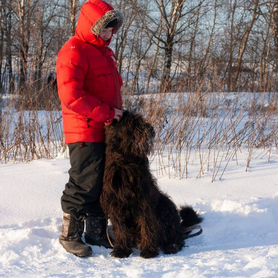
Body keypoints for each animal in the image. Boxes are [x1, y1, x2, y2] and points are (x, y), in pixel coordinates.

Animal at [100, 111, 202, 258]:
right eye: (132, 123)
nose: (150, 130)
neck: (126, 162)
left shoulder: (144, 202)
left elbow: (147, 225)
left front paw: (149, 250)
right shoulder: (115, 204)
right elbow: (120, 229)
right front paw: (122, 250)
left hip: (165, 206)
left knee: (176, 237)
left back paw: (171, 246)